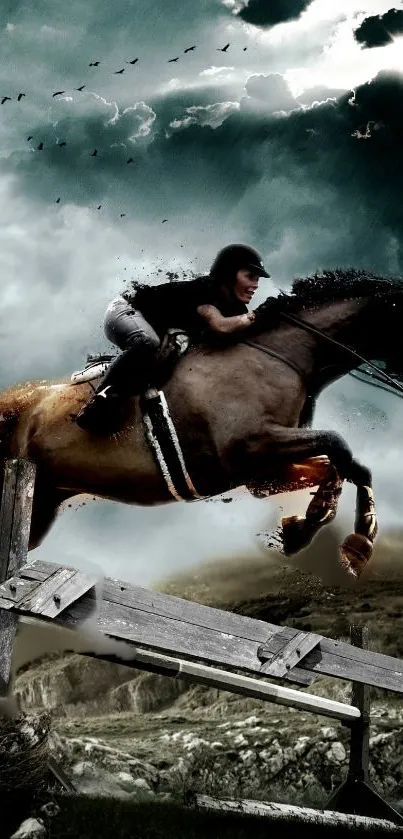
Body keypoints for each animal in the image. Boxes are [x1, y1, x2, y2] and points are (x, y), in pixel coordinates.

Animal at [0, 270, 400, 576]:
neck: (283, 355)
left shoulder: (264, 471)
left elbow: (340, 466)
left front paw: (309, 528)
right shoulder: (252, 445)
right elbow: (338, 446)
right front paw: (358, 541)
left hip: (42, 503)